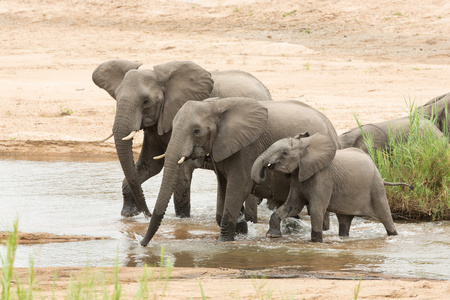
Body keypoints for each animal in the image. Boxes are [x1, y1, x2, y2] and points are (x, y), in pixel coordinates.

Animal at [91, 59, 270, 218]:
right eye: (116, 97)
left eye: (146, 101)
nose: (147, 214)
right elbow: (150, 165)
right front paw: (128, 214)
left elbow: (180, 173)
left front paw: (182, 220)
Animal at [139, 97, 340, 245]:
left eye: (196, 131)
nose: (141, 243)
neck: (214, 105)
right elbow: (223, 188)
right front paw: (241, 228)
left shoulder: (246, 148)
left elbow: (238, 187)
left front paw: (225, 240)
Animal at [251, 132, 414, 243]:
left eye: (284, 153)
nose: (266, 169)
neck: (305, 145)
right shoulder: (298, 178)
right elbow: (292, 207)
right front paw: (272, 235)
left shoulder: (322, 178)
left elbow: (316, 209)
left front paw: (316, 242)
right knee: (344, 221)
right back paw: (344, 237)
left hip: (376, 187)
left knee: (386, 216)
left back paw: (394, 235)